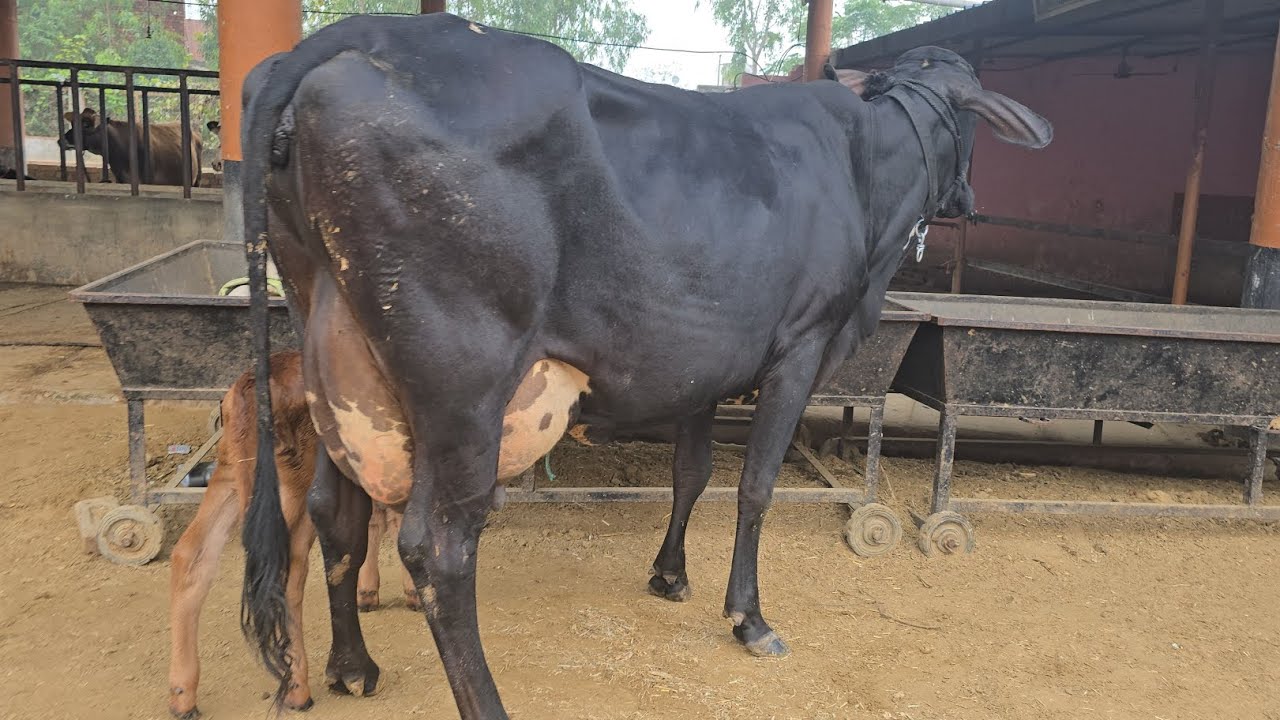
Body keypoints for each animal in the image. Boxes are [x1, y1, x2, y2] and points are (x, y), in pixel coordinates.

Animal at [167, 351, 421, 720]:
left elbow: (382, 518)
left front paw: (372, 591)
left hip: (230, 472)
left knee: (191, 555)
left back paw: (182, 695)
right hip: (296, 487)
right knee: (286, 575)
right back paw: (299, 689)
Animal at [235, 14, 1051, 719]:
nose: (970, 199)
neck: (865, 175)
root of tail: (360, 32)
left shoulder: (703, 366)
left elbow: (691, 474)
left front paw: (670, 574)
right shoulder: (801, 346)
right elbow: (755, 487)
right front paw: (748, 617)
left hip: (335, 351)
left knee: (335, 510)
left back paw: (352, 667)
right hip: (462, 381)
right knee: (438, 549)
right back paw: (481, 700)